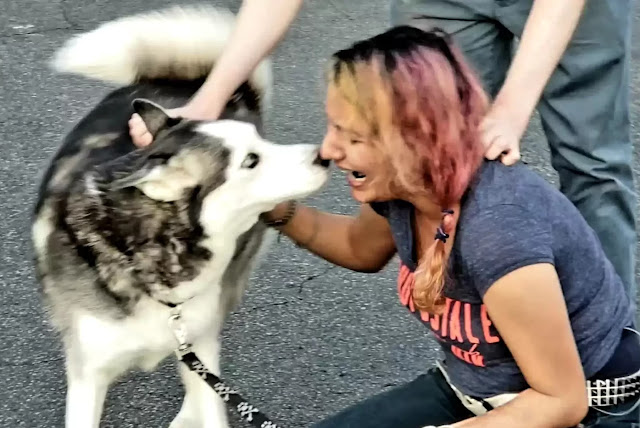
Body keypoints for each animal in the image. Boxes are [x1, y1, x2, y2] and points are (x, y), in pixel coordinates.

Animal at [30, 5, 330, 426]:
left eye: (261, 143)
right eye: (251, 161)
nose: (324, 156)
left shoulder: (196, 338)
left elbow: (210, 392)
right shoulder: (88, 375)